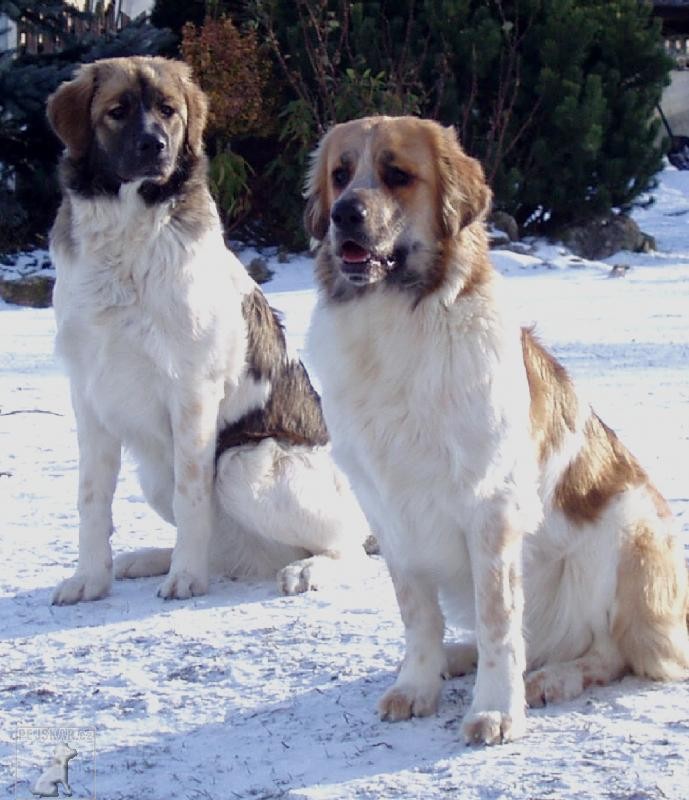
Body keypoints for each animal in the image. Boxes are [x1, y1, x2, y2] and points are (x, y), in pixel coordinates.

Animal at [47, 56, 370, 604]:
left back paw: (306, 570)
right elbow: (91, 499)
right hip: (157, 473)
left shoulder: (192, 393)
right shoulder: (88, 395)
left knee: (353, 550)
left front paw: (186, 579)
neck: (128, 238)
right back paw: (148, 559)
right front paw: (89, 579)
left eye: (168, 111)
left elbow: (192, 496)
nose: (155, 145)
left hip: (244, 463)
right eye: (118, 111)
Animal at [306, 115, 688, 748]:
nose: (344, 214)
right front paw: (418, 684)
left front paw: (496, 710)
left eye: (396, 174)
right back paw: (457, 657)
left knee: (611, 651)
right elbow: (417, 614)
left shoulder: (490, 509)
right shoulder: (389, 511)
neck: (396, 323)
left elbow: (499, 622)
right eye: (340, 175)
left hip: (626, 525)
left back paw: (554, 677)